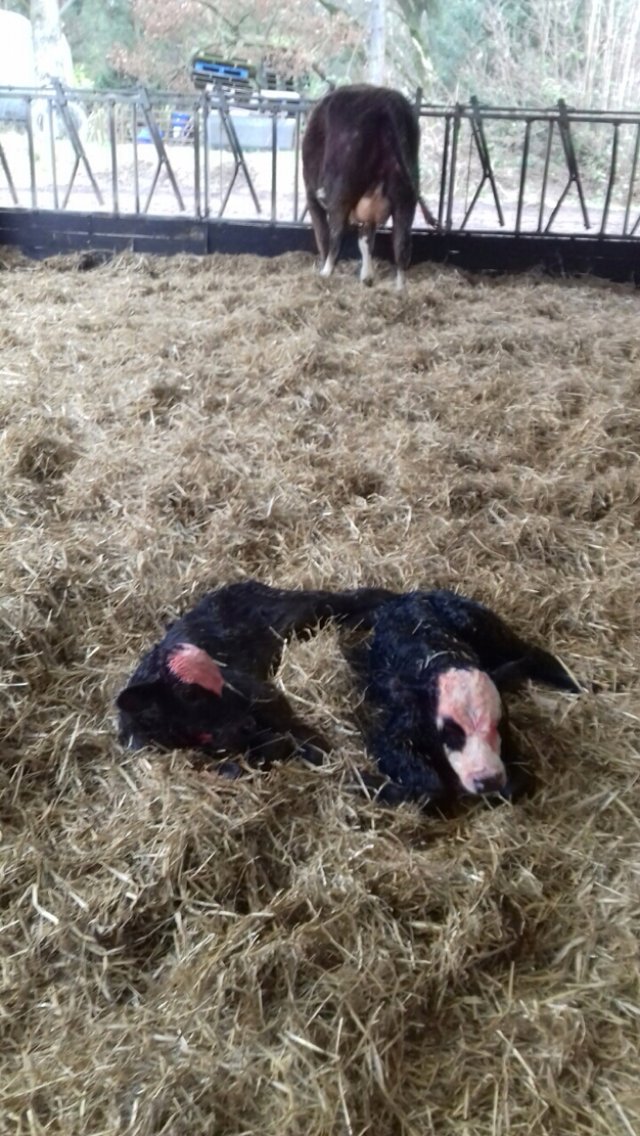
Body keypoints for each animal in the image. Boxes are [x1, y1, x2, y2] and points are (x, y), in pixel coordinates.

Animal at [116, 580, 395, 774]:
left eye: (218, 674)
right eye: (187, 693)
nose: (247, 723)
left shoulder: (257, 692)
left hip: (294, 612)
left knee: (338, 599)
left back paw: (387, 602)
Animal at [302, 84, 438, 290]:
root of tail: (386, 99)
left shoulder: (312, 197)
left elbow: (323, 235)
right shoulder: (370, 215)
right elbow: (365, 241)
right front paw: (367, 276)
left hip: (342, 191)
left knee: (335, 234)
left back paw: (326, 273)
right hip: (405, 196)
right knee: (401, 244)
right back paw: (400, 289)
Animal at [344, 589, 582, 807]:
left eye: (499, 724)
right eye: (451, 733)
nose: (488, 780)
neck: (443, 659)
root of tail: (413, 594)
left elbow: (518, 785)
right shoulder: (395, 734)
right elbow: (434, 790)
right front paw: (366, 782)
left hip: (483, 627)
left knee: (532, 653)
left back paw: (579, 684)